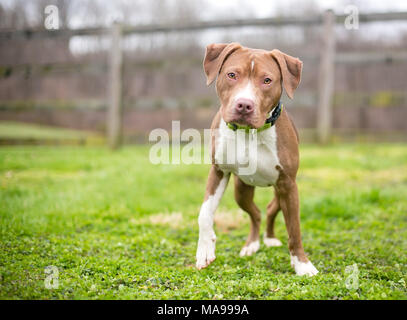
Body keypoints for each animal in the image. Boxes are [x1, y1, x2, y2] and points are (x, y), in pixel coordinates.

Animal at [196, 42, 320, 276]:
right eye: (232, 75)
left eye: (267, 80)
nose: (244, 105)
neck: (248, 133)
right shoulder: (218, 171)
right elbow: (205, 212)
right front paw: (205, 250)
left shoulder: (288, 184)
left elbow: (294, 228)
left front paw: (302, 264)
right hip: (241, 190)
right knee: (255, 214)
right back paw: (251, 245)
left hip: (282, 190)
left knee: (271, 209)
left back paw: (270, 239)